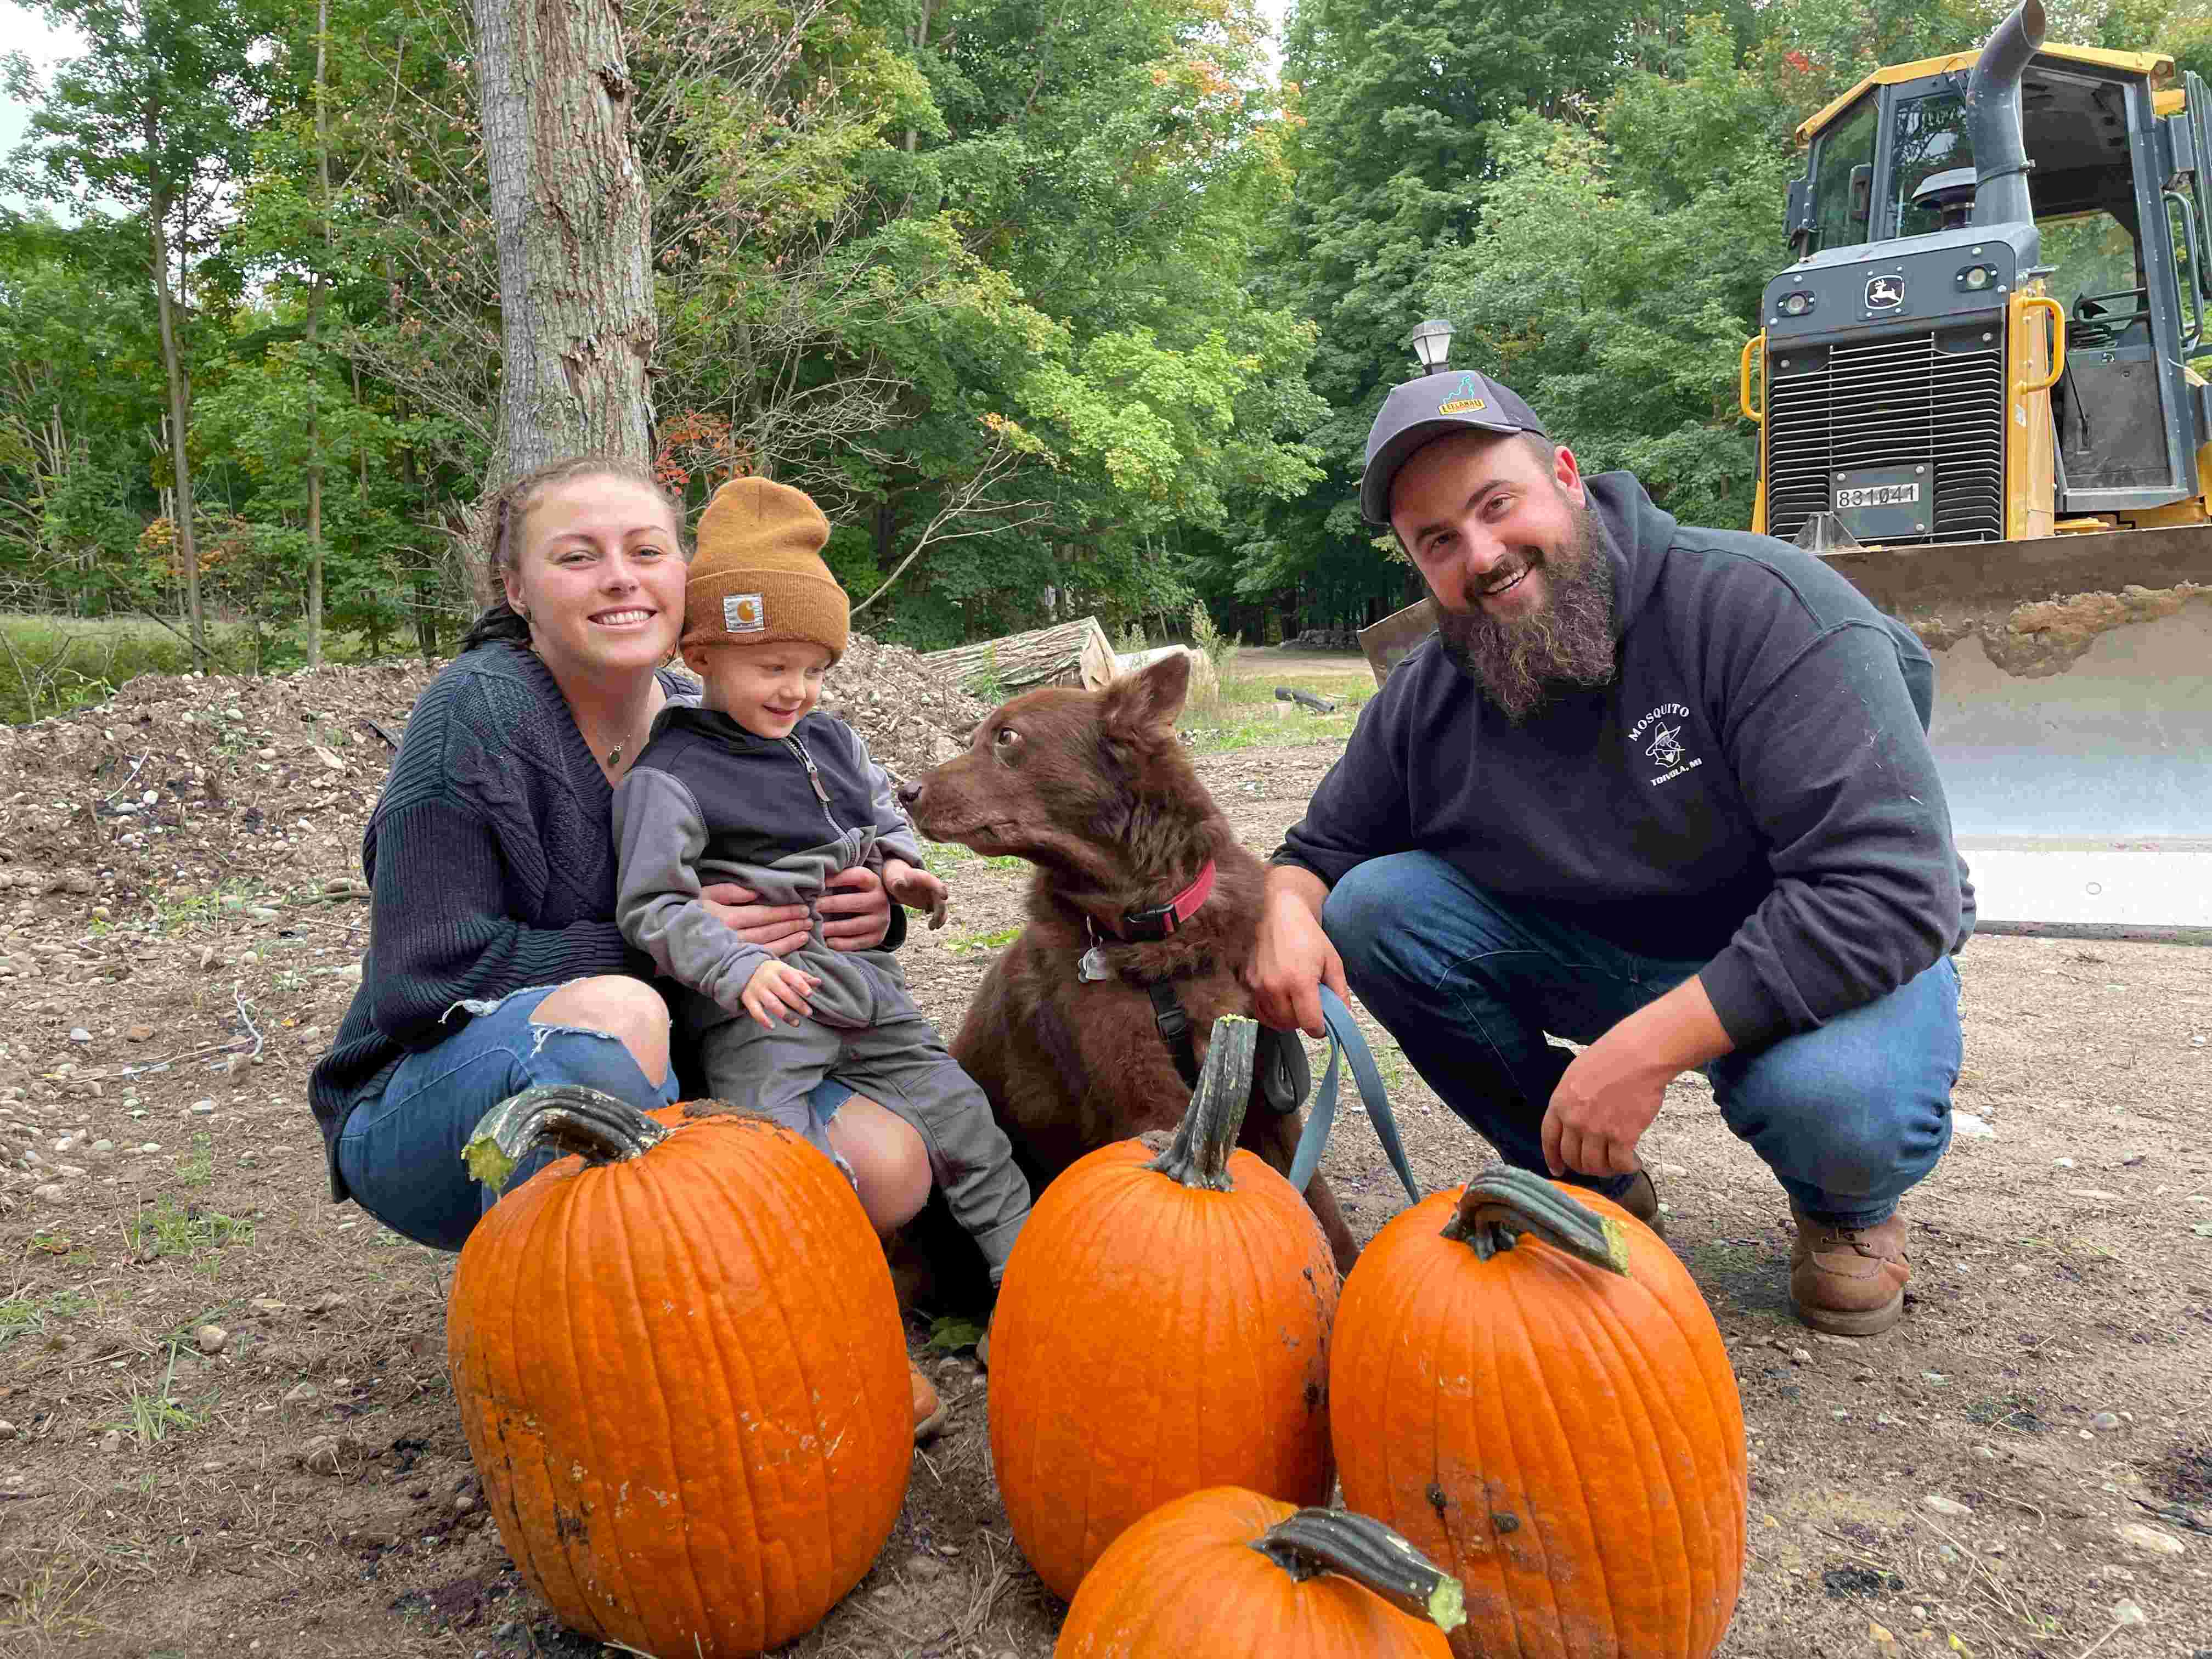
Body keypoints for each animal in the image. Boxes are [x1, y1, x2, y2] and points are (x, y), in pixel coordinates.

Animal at [902, 650, 1362, 1274]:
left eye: (1007, 737)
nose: (905, 790)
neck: (1154, 926)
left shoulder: (1267, 1088)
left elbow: (1317, 1200)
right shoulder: (1145, 1097)